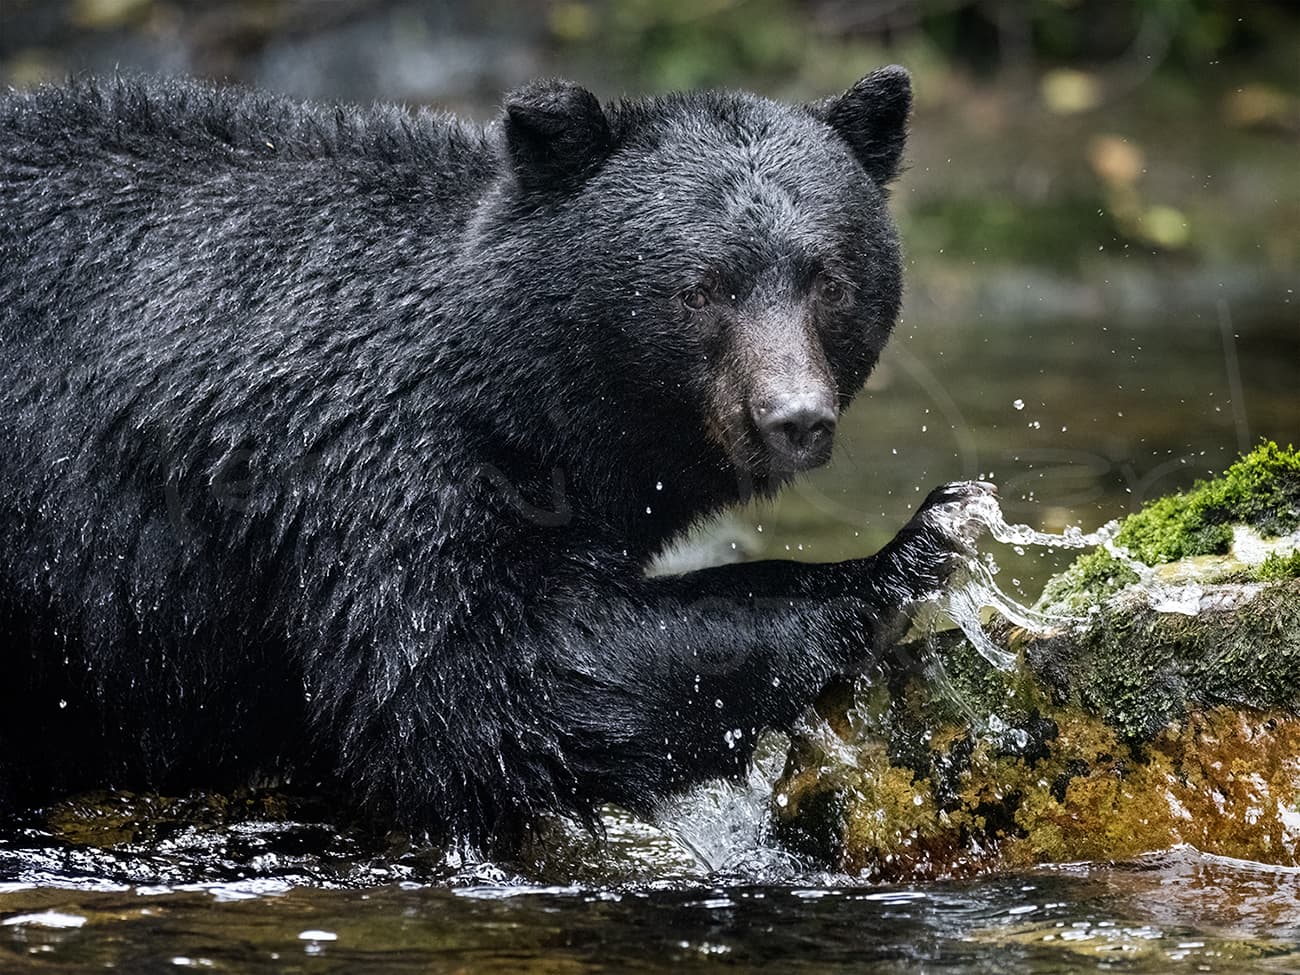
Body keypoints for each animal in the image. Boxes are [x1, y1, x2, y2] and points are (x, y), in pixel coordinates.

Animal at [0, 68, 992, 854]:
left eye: (828, 279)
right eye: (700, 288)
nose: (793, 417)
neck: (521, 391)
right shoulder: (374, 455)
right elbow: (479, 682)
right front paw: (903, 551)